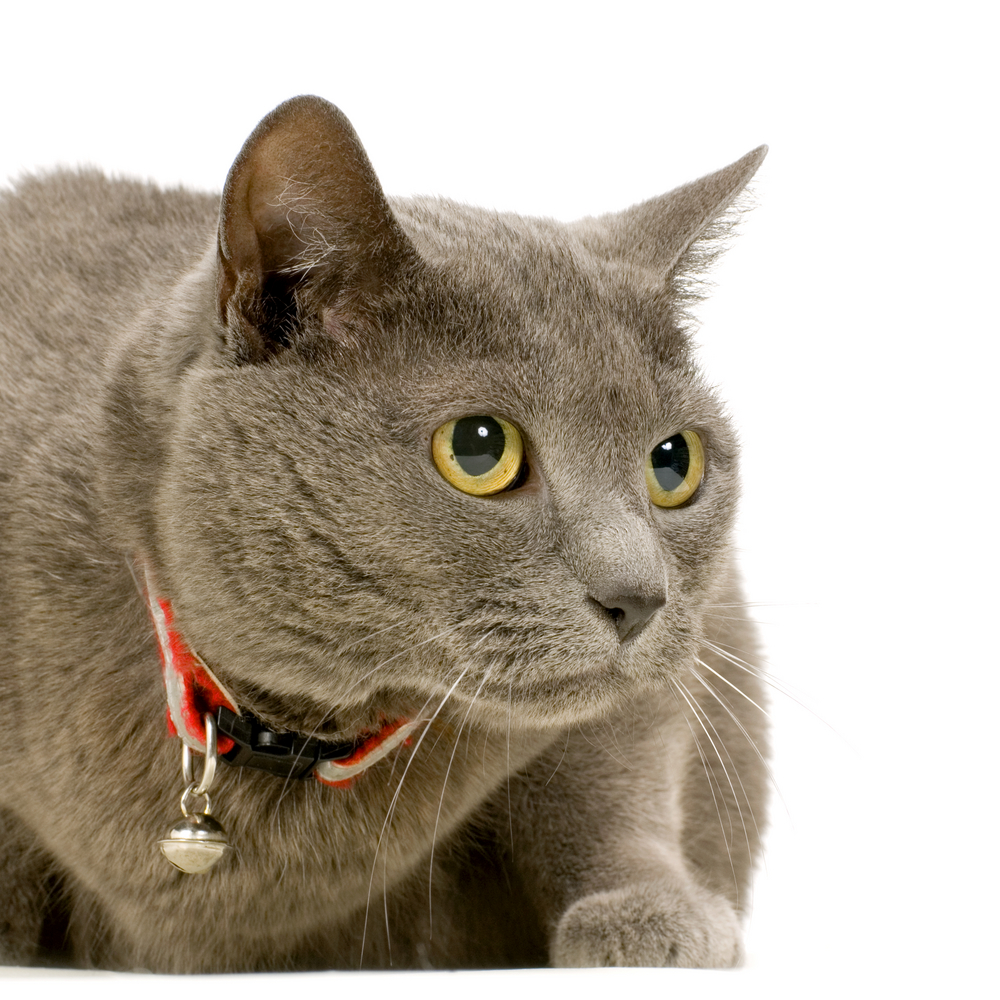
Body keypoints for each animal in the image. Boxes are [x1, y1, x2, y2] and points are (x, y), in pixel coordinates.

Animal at [0, 97, 764, 972]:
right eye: (479, 448)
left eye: (674, 462)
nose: (639, 598)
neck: (298, 730)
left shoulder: (697, 652)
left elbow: (609, 770)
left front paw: (653, 914)